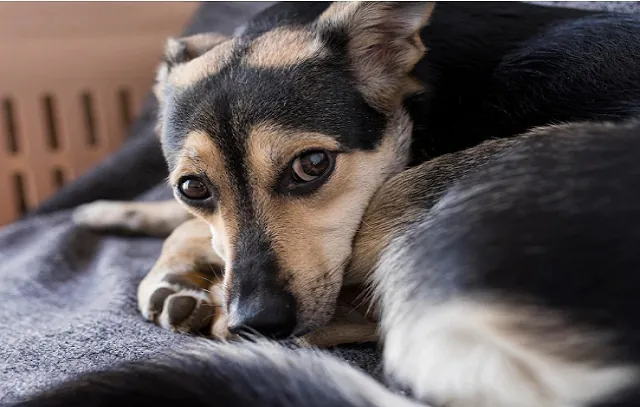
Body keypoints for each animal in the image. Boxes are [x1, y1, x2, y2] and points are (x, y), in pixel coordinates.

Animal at [20, 2, 640, 407]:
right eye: (193, 188)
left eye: (312, 164)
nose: (256, 323)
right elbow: (185, 223)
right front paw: (112, 213)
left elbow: (191, 236)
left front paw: (174, 273)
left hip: (431, 191)